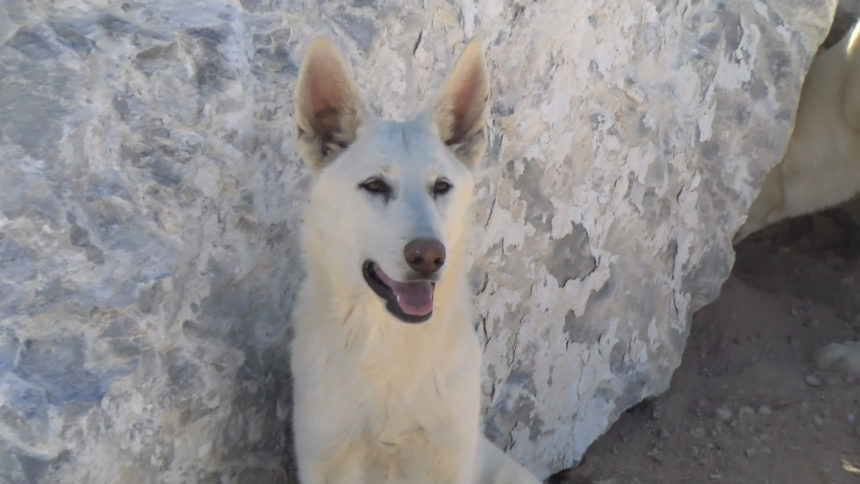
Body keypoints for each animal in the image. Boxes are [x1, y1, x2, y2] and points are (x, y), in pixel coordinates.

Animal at [289, 38, 543, 484]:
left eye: (441, 186)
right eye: (374, 185)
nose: (428, 256)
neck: (391, 344)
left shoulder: (448, 457)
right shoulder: (328, 458)